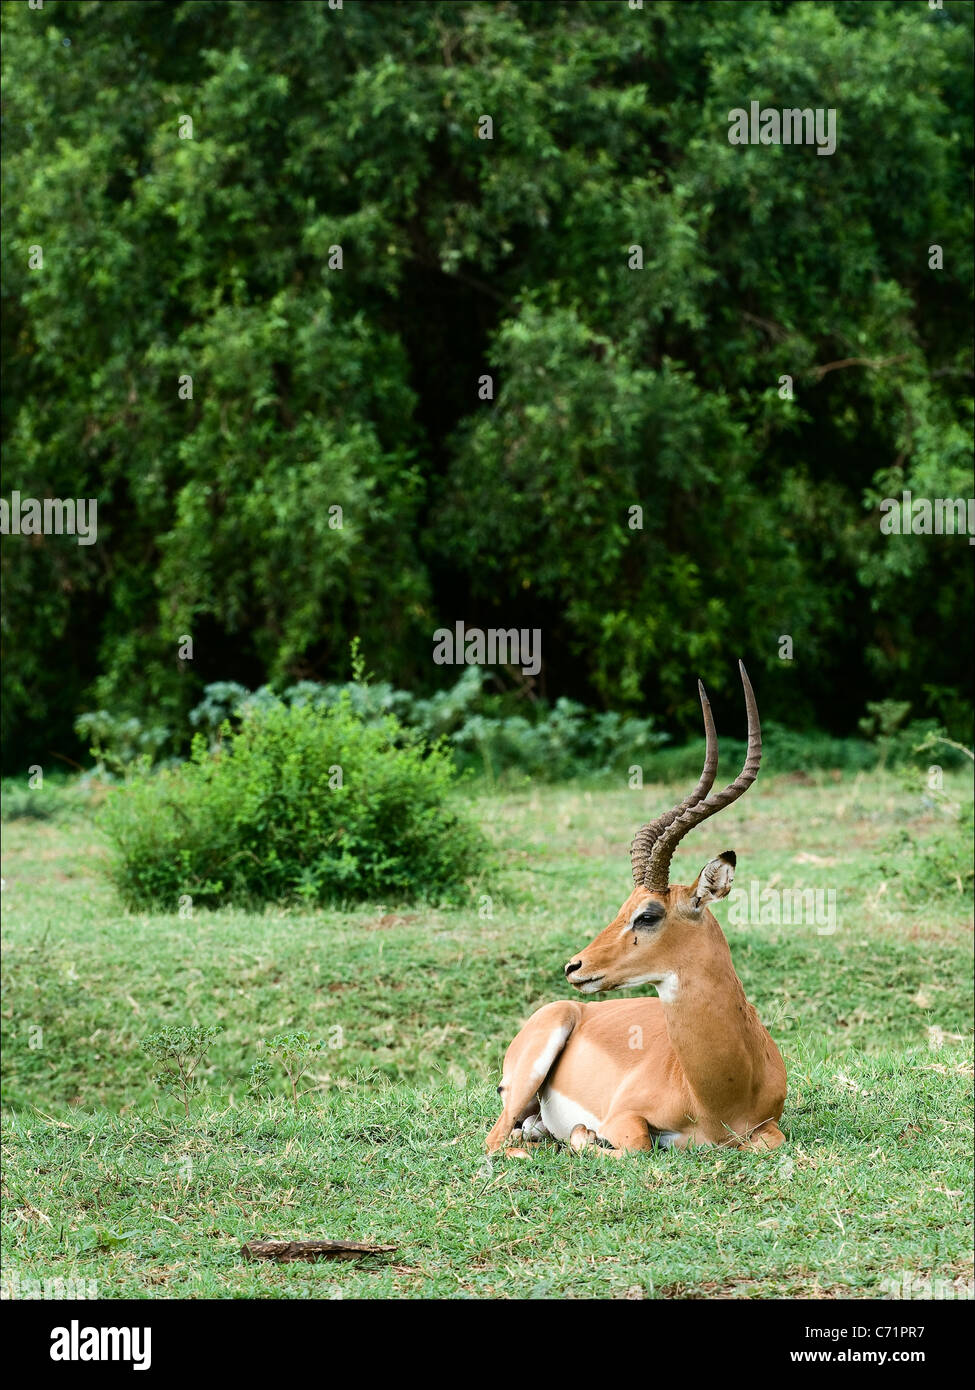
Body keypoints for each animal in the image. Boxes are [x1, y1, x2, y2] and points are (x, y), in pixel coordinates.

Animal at [486, 662, 787, 1157]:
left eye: (647, 914)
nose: (575, 966)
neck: (718, 1095)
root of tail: (571, 1006)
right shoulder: (624, 1118)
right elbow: (636, 1144)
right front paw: (585, 1134)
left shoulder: (768, 1127)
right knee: (494, 1140)